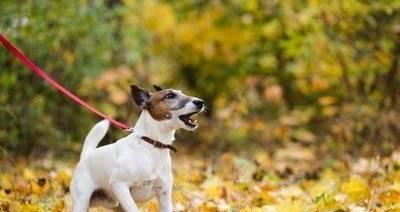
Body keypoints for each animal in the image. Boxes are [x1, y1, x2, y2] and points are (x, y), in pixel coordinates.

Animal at [70, 85, 205, 212]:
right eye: (169, 95)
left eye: (183, 93)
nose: (200, 102)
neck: (152, 145)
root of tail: (86, 155)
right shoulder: (119, 185)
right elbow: (133, 208)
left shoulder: (164, 194)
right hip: (82, 201)